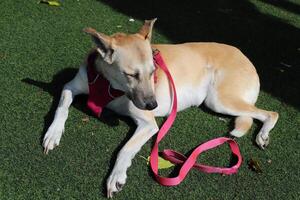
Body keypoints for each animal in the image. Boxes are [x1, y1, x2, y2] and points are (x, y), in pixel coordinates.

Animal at [42, 18, 278, 197]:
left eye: (153, 71)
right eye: (131, 75)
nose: (153, 105)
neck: (109, 86)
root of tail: (245, 56)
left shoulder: (148, 124)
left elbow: (126, 148)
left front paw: (116, 176)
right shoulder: (71, 86)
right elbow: (62, 106)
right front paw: (53, 134)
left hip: (219, 99)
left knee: (271, 113)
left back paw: (263, 135)